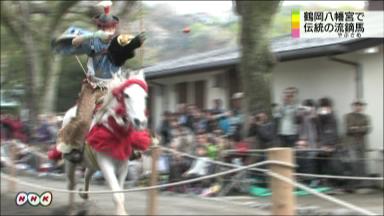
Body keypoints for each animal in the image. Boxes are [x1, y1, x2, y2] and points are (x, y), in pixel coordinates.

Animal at [60, 70, 149, 214]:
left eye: (145, 96)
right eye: (126, 95)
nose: (140, 122)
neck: (115, 132)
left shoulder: (123, 165)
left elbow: (121, 194)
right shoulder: (106, 164)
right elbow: (116, 195)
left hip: (92, 164)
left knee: (87, 175)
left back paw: (84, 194)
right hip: (70, 162)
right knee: (71, 183)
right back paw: (72, 209)